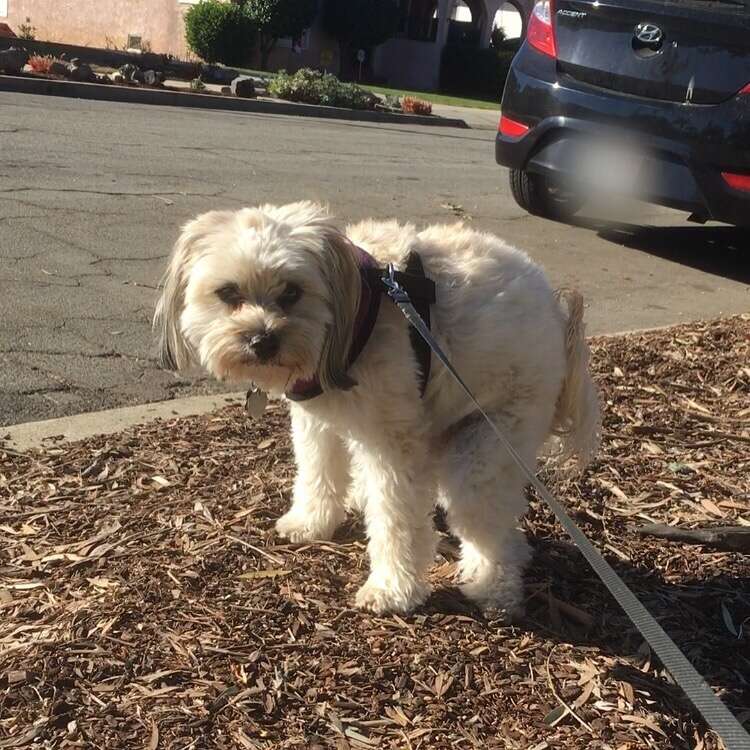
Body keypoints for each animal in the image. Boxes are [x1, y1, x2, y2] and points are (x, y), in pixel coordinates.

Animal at [156, 201, 604, 616]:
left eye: (292, 292)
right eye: (228, 293)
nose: (262, 340)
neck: (357, 310)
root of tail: (555, 307)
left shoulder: (394, 444)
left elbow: (396, 518)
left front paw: (392, 589)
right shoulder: (318, 422)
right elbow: (318, 471)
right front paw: (311, 521)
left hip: (494, 436)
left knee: (489, 523)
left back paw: (494, 587)